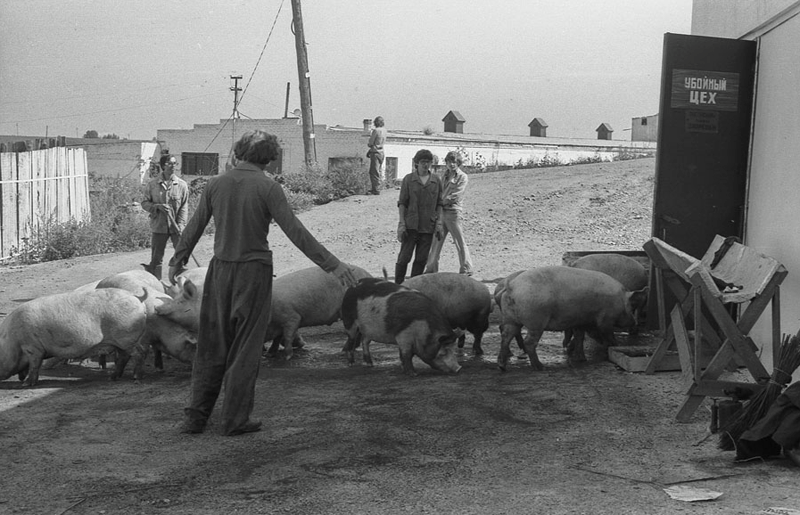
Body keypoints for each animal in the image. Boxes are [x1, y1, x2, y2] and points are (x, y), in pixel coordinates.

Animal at [494, 268, 648, 372]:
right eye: (632, 307)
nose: (634, 322)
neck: (620, 300)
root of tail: (511, 287)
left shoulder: (579, 321)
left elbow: (580, 337)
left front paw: (581, 359)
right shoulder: (605, 320)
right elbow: (607, 334)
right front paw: (613, 346)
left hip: (511, 319)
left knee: (506, 336)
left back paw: (502, 366)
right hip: (536, 321)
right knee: (529, 342)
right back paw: (540, 367)